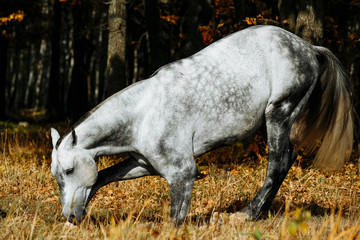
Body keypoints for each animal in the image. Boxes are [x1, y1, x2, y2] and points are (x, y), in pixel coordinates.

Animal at [50, 25, 352, 225]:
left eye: (69, 169)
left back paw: (245, 214)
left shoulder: (182, 172)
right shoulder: (144, 164)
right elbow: (103, 177)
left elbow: (175, 219)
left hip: (279, 114)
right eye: (57, 175)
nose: (71, 216)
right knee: (287, 159)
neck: (142, 115)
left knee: (278, 163)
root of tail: (309, 48)